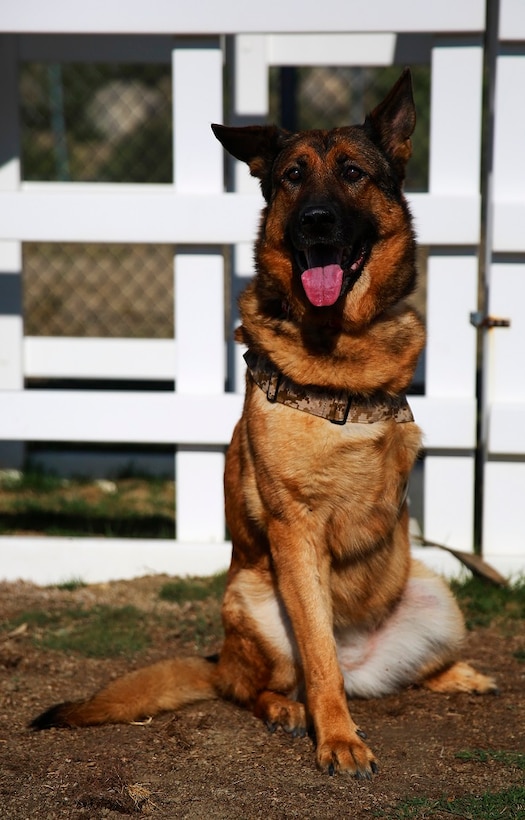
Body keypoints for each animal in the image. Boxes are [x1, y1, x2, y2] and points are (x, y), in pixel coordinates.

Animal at [31, 70, 496, 776]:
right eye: (293, 177)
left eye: (354, 173)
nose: (315, 222)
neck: (339, 353)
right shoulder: (294, 529)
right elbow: (318, 652)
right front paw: (337, 739)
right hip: (254, 601)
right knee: (260, 684)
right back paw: (289, 709)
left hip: (438, 599)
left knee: (405, 669)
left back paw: (455, 675)